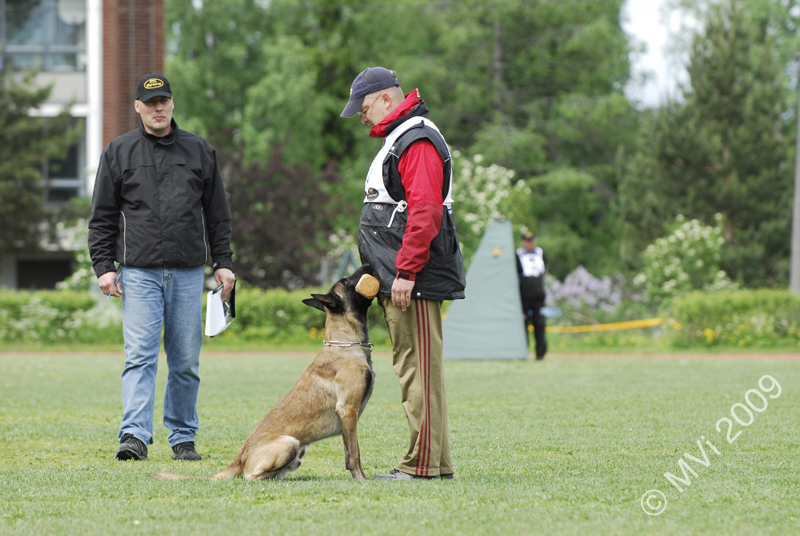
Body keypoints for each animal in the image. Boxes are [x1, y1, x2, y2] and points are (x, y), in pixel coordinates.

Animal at [154, 264, 384, 482]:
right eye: (346, 281)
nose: (367, 264)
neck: (344, 344)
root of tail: (239, 458)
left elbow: (351, 452)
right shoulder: (348, 411)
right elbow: (354, 454)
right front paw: (361, 479)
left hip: (297, 452)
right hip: (290, 443)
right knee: (251, 478)